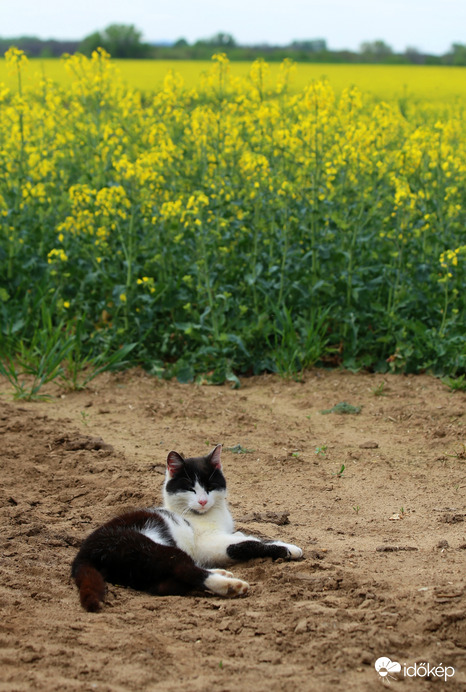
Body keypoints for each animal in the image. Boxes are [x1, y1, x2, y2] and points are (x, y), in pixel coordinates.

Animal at [71, 444, 304, 612]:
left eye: (210, 487)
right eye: (190, 489)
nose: (202, 501)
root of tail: (82, 555)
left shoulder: (226, 534)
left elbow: (250, 536)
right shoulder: (209, 543)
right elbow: (247, 543)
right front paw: (290, 549)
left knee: (165, 584)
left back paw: (222, 574)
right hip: (149, 548)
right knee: (184, 570)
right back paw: (231, 586)